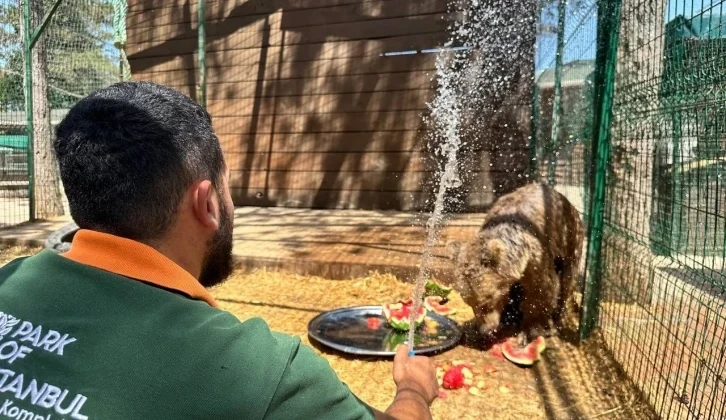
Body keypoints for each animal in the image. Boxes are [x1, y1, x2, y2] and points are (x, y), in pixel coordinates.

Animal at [450, 181, 584, 344]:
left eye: (487, 301)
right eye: (470, 302)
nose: (486, 329)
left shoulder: (538, 259)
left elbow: (542, 291)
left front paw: (527, 331)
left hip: (570, 243)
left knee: (566, 283)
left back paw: (555, 322)